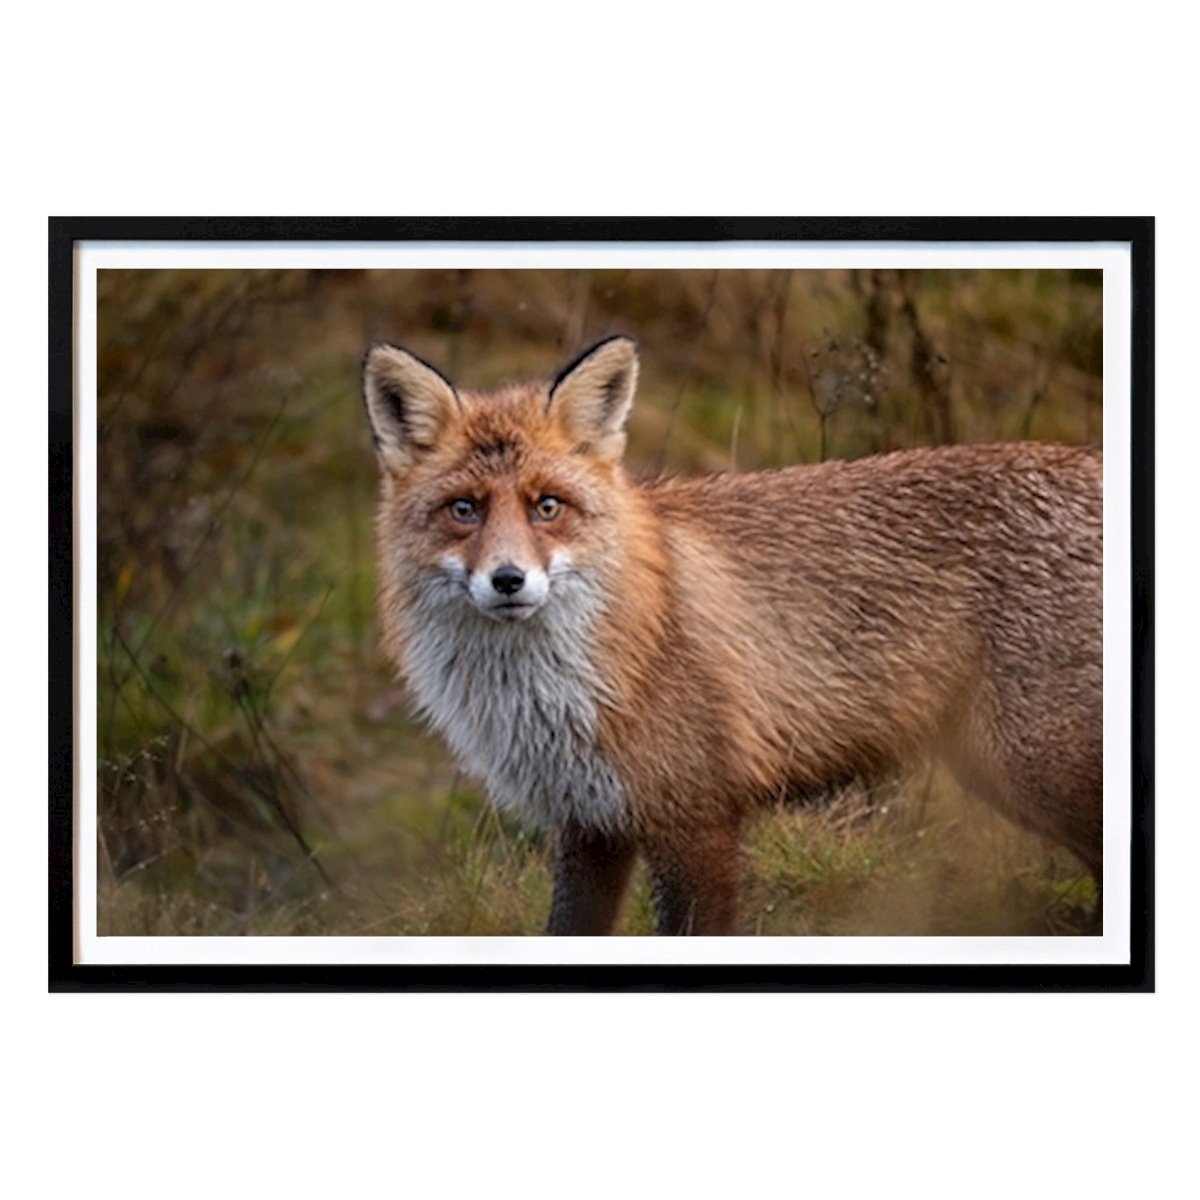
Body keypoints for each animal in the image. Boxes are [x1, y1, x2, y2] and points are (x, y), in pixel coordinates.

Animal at [362, 334, 1103, 935]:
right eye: (464, 509)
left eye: (547, 506)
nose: (509, 580)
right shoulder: (591, 825)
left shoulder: (697, 819)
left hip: (1036, 771)